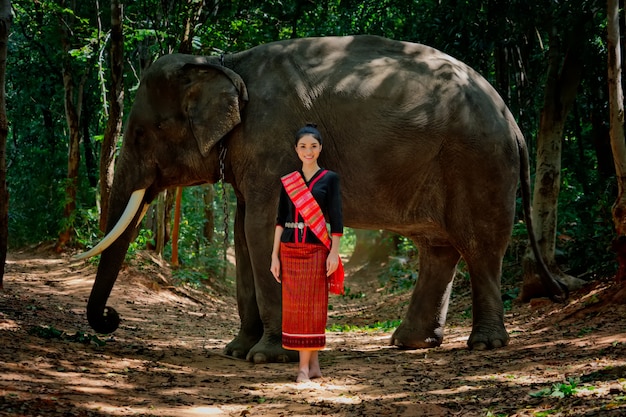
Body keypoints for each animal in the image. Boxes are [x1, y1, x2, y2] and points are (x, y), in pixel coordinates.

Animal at [74, 35, 564, 360]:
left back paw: (484, 344)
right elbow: (245, 232)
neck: (223, 63)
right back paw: (408, 342)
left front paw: (267, 356)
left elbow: (259, 230)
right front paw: (237, 351)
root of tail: (512, 121)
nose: (111, 319)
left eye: (143, 132)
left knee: (479, 245)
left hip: (479, 162)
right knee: (438, 247)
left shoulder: (272, 138)